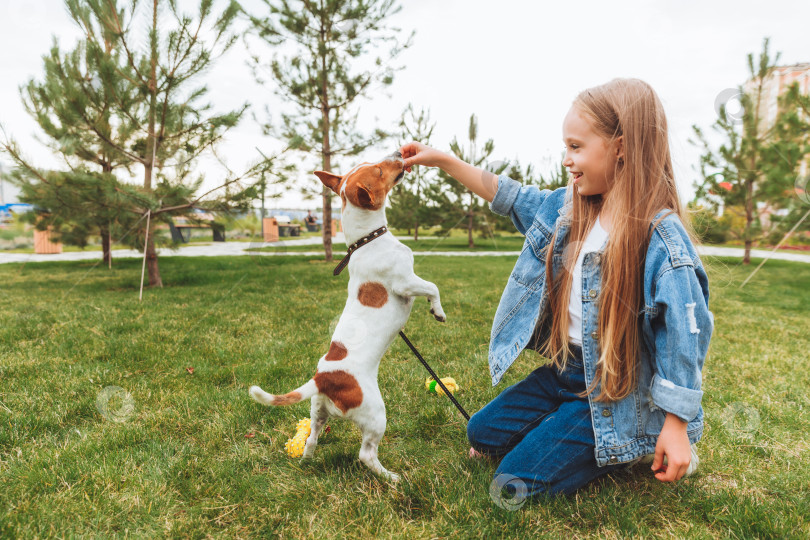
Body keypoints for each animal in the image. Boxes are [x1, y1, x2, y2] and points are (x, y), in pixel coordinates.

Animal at [249, 151, 446, 480]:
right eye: (379, 169)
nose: (398, 153)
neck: (368, 239)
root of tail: (323, 378)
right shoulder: (405, 283)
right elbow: (433, 287)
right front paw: (438, 311)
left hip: (318, 412)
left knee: (312, 440)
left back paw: (306, 462)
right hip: (376, 415)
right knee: (365, 454)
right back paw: (392, 478)